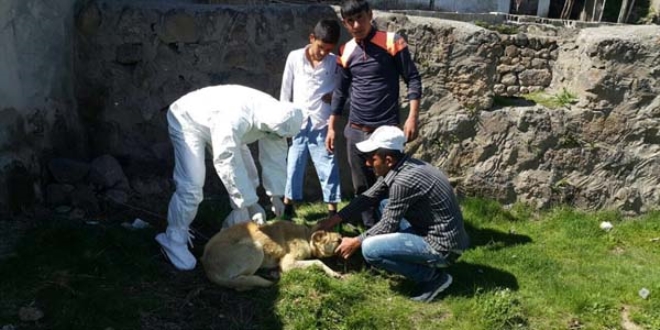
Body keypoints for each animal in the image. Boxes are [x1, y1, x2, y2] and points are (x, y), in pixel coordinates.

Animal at [201, 220, 342, 290]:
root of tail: (207, 267)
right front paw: (333, 272)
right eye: (338, 241)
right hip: (257, 248)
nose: (343, 239)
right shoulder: (287, 263)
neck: (307, 236)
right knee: (241, 283)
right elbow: (318, 262)